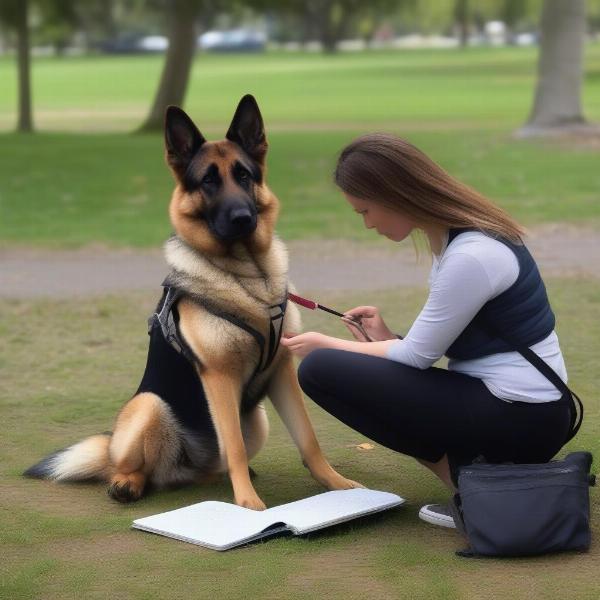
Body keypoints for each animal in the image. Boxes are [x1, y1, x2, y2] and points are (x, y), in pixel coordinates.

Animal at [23, 96, 364, 508]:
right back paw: (127, 483)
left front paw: (335, 483)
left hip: (256, 420)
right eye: (208, 181)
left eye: (245, 176)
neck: (251, 278)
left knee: (211, 466)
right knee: (129, 466)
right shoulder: (219, 378)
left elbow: (308, 439)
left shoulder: (282, 371)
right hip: (149, 406)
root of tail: (181, 470)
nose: (243, 218)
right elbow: (233, 446)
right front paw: (249, 505)